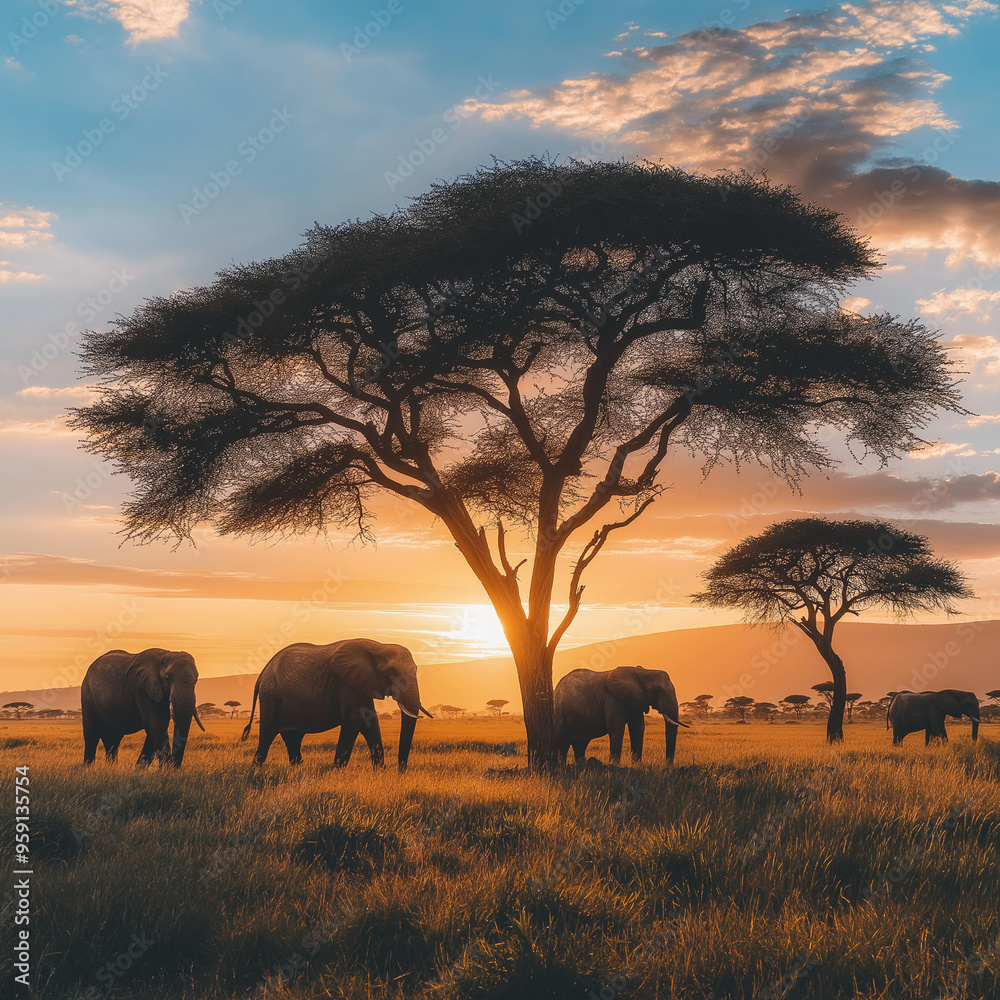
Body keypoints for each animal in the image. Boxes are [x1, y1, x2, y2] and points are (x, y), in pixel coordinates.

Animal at [241, 638, 432, 769]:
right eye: (391, 672)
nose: (400, 770)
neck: (378, 646)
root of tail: (262, 674)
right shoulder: (347, 683)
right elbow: (354, 720)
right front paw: (337, 770)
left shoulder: (361, 682)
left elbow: (370, 721)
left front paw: (379, 771)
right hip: (271, 697)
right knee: (267, 734)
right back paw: (256, 768)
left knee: (293, 737)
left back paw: (298, 768)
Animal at [554, 665, 688, 765]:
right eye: (657, 690)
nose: (668, 766)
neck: (642, 671)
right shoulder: (612, 698)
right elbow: (616, 728)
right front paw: (614, 766)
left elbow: (638, 729)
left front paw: (636, 766)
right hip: (559, 712)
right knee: (562, 742)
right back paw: (562, 767)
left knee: (579, 744)